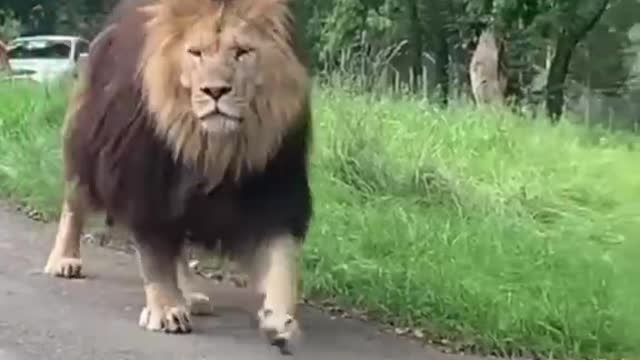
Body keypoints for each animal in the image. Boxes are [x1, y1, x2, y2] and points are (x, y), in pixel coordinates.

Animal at [42, 0, 312, 352]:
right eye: (196, 53)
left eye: (241, 52)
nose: (215, 91)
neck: (214, 147)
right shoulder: (146, 184)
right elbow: (156, 257)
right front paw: (167, 309)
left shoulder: (274, 188)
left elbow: (282, 260)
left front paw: (280, 321)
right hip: (88, 142)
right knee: (74, 201)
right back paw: (64, 260)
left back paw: (192, 295)